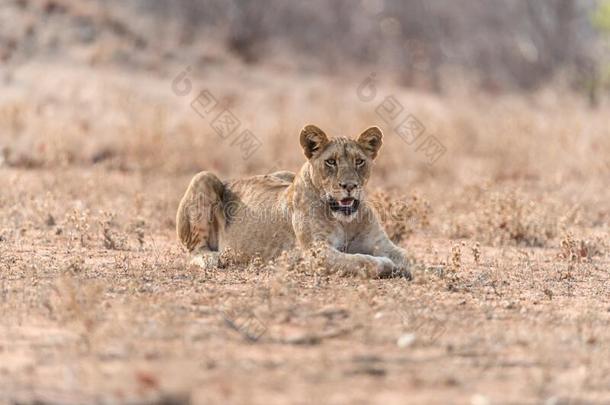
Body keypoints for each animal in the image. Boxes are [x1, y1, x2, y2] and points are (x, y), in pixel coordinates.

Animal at [178, 124, 410, 278]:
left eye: (359, 161)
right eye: (331, 162)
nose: (349, 185)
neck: (346, 221)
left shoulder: (381, 243)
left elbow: (406, 257)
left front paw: (402, 268)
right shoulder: (316, 253)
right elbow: (361, 260)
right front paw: (387, 266)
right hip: (204, 177)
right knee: (193, 250)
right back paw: (211, 258)